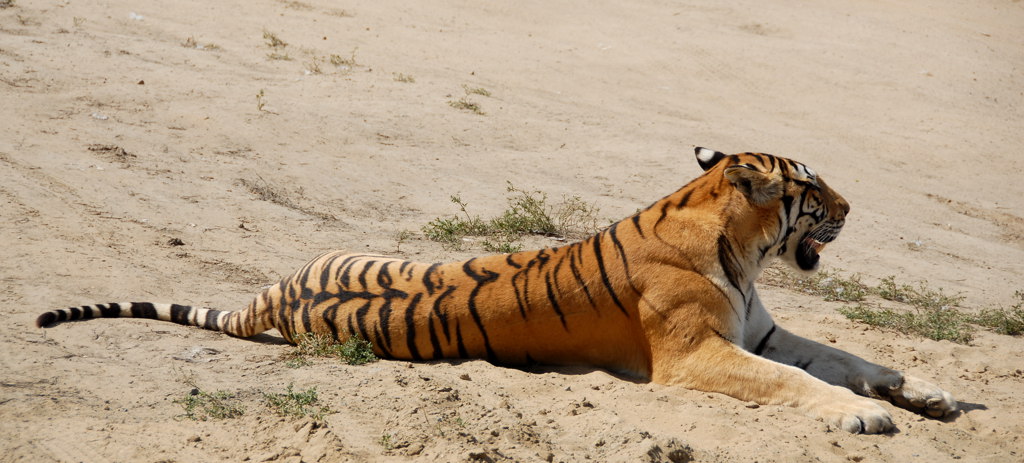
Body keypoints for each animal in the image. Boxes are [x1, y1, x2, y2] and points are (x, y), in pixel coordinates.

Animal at [36, 147, 954, 434]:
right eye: (814, 186)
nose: (851, 209)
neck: (750, 249)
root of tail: (280, 294)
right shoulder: (698, 355)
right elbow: (797, 380)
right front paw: (864, 416)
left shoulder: (760, 329)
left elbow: (851, 355)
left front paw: (933, 394)